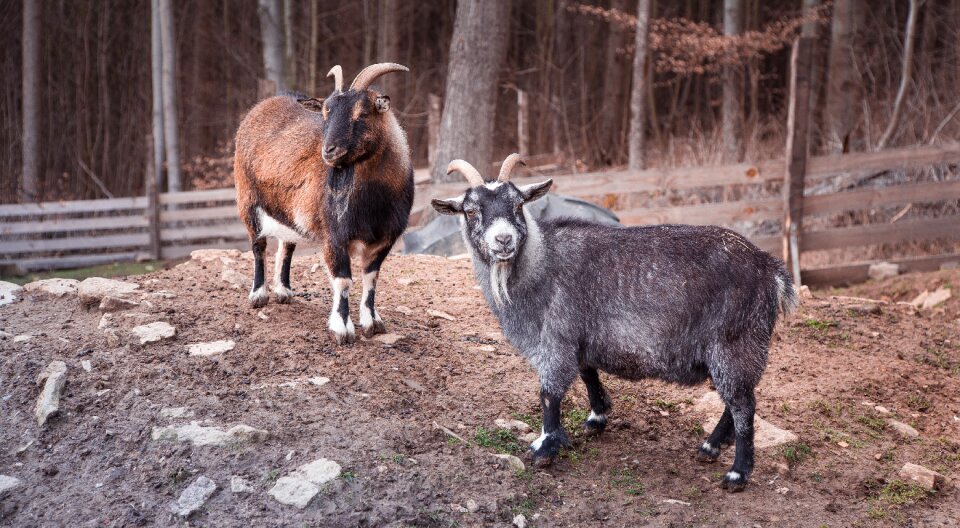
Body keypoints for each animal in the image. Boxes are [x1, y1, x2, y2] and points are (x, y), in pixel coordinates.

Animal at [235, 62, 412, 344]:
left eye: (363, 113)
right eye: (326, 113)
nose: (329, 151)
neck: (373, 202)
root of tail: (262, 106)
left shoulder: (385, 238)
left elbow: (371, 278)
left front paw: (373, 322)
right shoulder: (335, 235)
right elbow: (343, 281)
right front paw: (342, 329)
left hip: (289, 211)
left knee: (287, 246)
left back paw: (283, 291)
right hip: (248, 200)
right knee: (258, 246)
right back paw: (259, 295)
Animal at [432, 153, 800, 490]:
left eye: (519, 204)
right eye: (470, 210)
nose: (504, 240)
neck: (540, 263)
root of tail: (769, 269)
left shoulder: (555, 338)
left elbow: (549, 393)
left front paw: (545, 446)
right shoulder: (579, 336)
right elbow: (587, 372)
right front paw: (597, 416)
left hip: (736, 342)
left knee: (743, 405)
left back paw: (737, 472)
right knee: (736, 399)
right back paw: (710, 446)